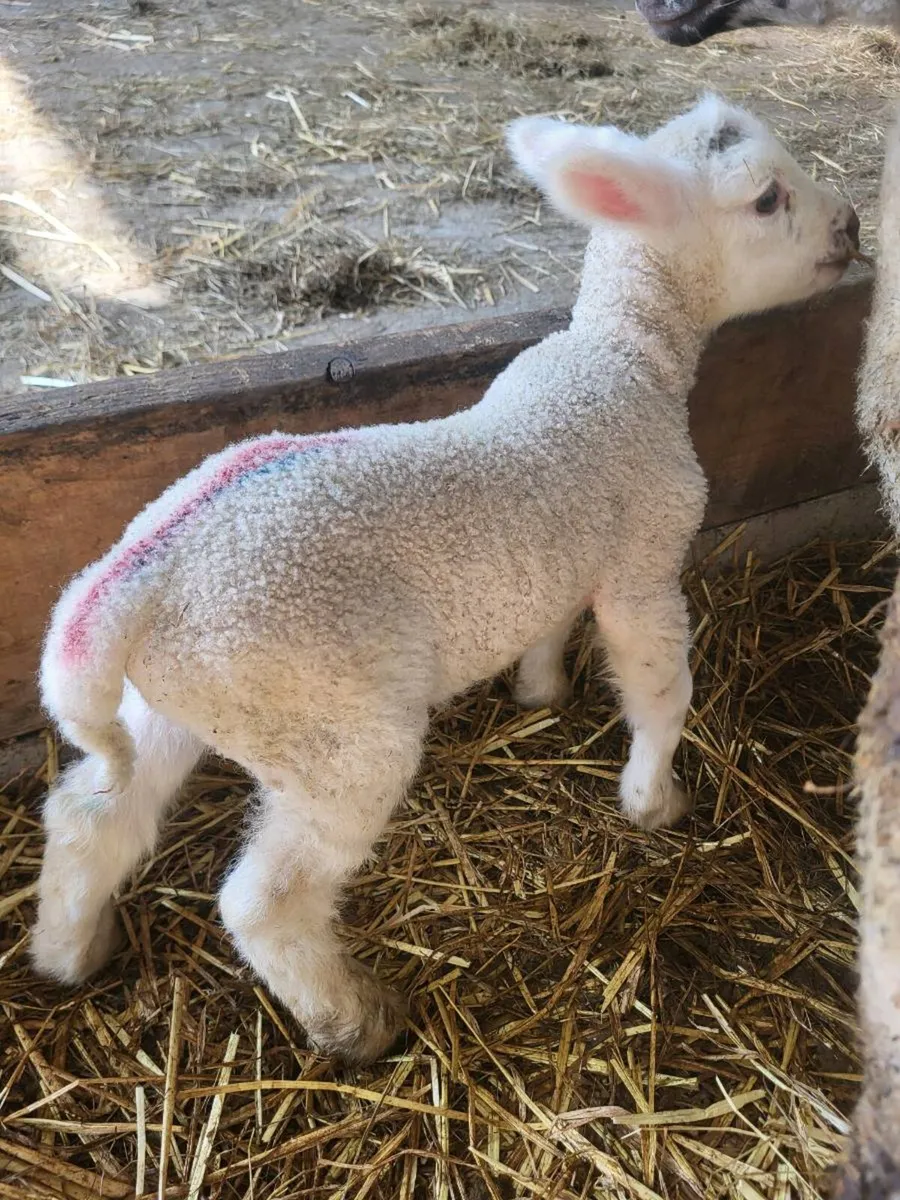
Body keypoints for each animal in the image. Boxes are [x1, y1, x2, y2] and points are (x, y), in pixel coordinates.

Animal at [30, 95, 860, 1065]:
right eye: (768, 198)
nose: (851, 226)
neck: (624, 357)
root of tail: (127, 590)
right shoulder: (644, 558)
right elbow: (660, 688)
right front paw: (654, 801)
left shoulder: (563, 556)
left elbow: (549, 623)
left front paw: (541, 692)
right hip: (333, 728)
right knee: (262, 901)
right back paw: (353, 1020)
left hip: (187, 697)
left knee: (93, 813)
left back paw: (68, 950)